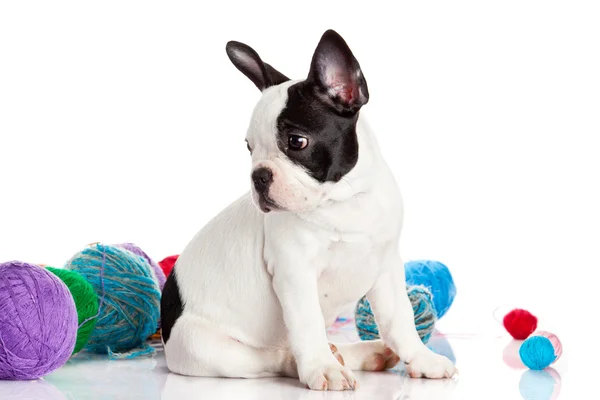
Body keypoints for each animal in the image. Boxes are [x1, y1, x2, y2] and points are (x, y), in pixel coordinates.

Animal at [159, 28, 454, 390]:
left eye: (296, 142)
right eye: (250, 149)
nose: (258, 176)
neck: (344, 200)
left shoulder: (386, 267)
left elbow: (400, 320)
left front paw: (423, 359)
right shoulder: (295, 273)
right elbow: (308, 324)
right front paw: (323, 368)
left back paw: (363, 352)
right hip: (204, 347)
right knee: (272, 357)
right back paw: (331, 360)